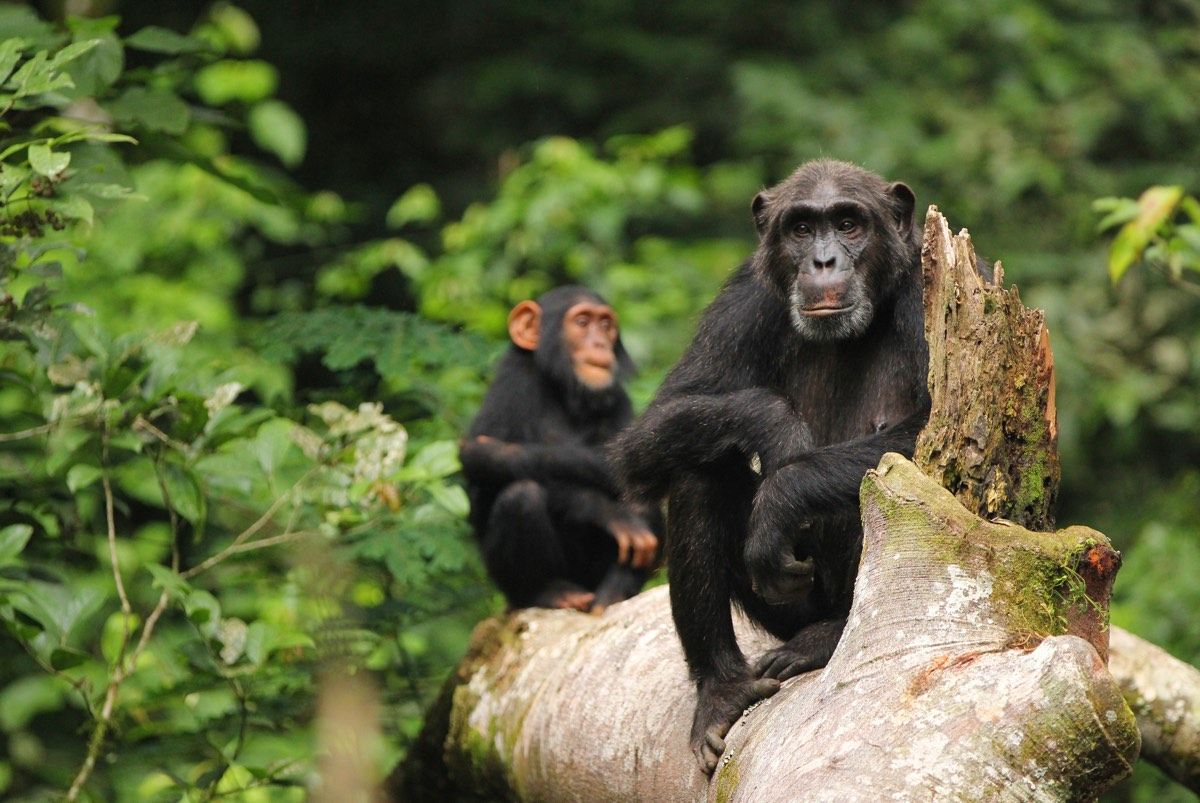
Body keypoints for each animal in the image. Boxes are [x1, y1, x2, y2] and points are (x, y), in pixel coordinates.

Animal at [460, 284, 667, 609]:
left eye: (605, 325)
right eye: (582, 322)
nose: (599, 342)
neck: (562, 389)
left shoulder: (618, 398)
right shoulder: (512, 388)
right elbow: (485, 486)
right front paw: (604, 511)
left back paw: (615, 589)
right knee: (521, 496)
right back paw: (551, 591)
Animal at [614, 160, 940, 768]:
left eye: (847, 223)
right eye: (801, 229)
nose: (823, 260)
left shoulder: (929, 294)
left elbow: (936, 430)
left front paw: (783, 494)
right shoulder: (744, 301)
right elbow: (649, 431)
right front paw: (776, 426)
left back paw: (827, 638)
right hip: (786, 606)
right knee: (698, 471)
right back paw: (723, 691)